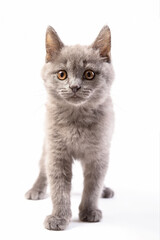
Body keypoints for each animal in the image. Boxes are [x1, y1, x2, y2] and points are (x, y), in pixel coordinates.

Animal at [25, 25, 114, 231]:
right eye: (61, 74)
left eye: (89, 74)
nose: (74, 87)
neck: (77, 120)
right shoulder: (57, 153)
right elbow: (59, 188)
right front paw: (59, 217)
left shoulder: (98, 153)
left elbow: (93, 185)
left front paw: (89, 211)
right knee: (42, 168)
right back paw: (36, 189)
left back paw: (105, 190)